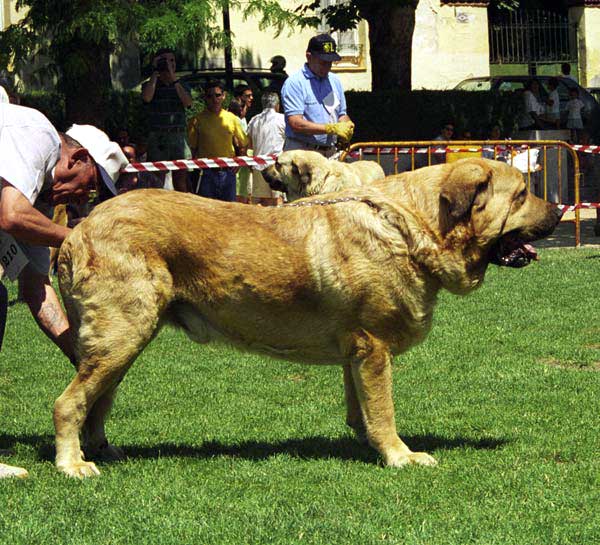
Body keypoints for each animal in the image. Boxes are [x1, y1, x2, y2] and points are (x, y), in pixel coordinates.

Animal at [54, 157, 560, 476]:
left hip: (124, 343)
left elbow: (362, 409)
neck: (412, 226)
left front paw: (368, 444)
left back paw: (103, 450)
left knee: (98, 401)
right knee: (69, 403)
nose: (557, 209)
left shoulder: (358, 354)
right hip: (122, 335)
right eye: (521, 194)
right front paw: (400, 456)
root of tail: (78, 229)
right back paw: (73, 464)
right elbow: (384, 409)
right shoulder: (374, 348)